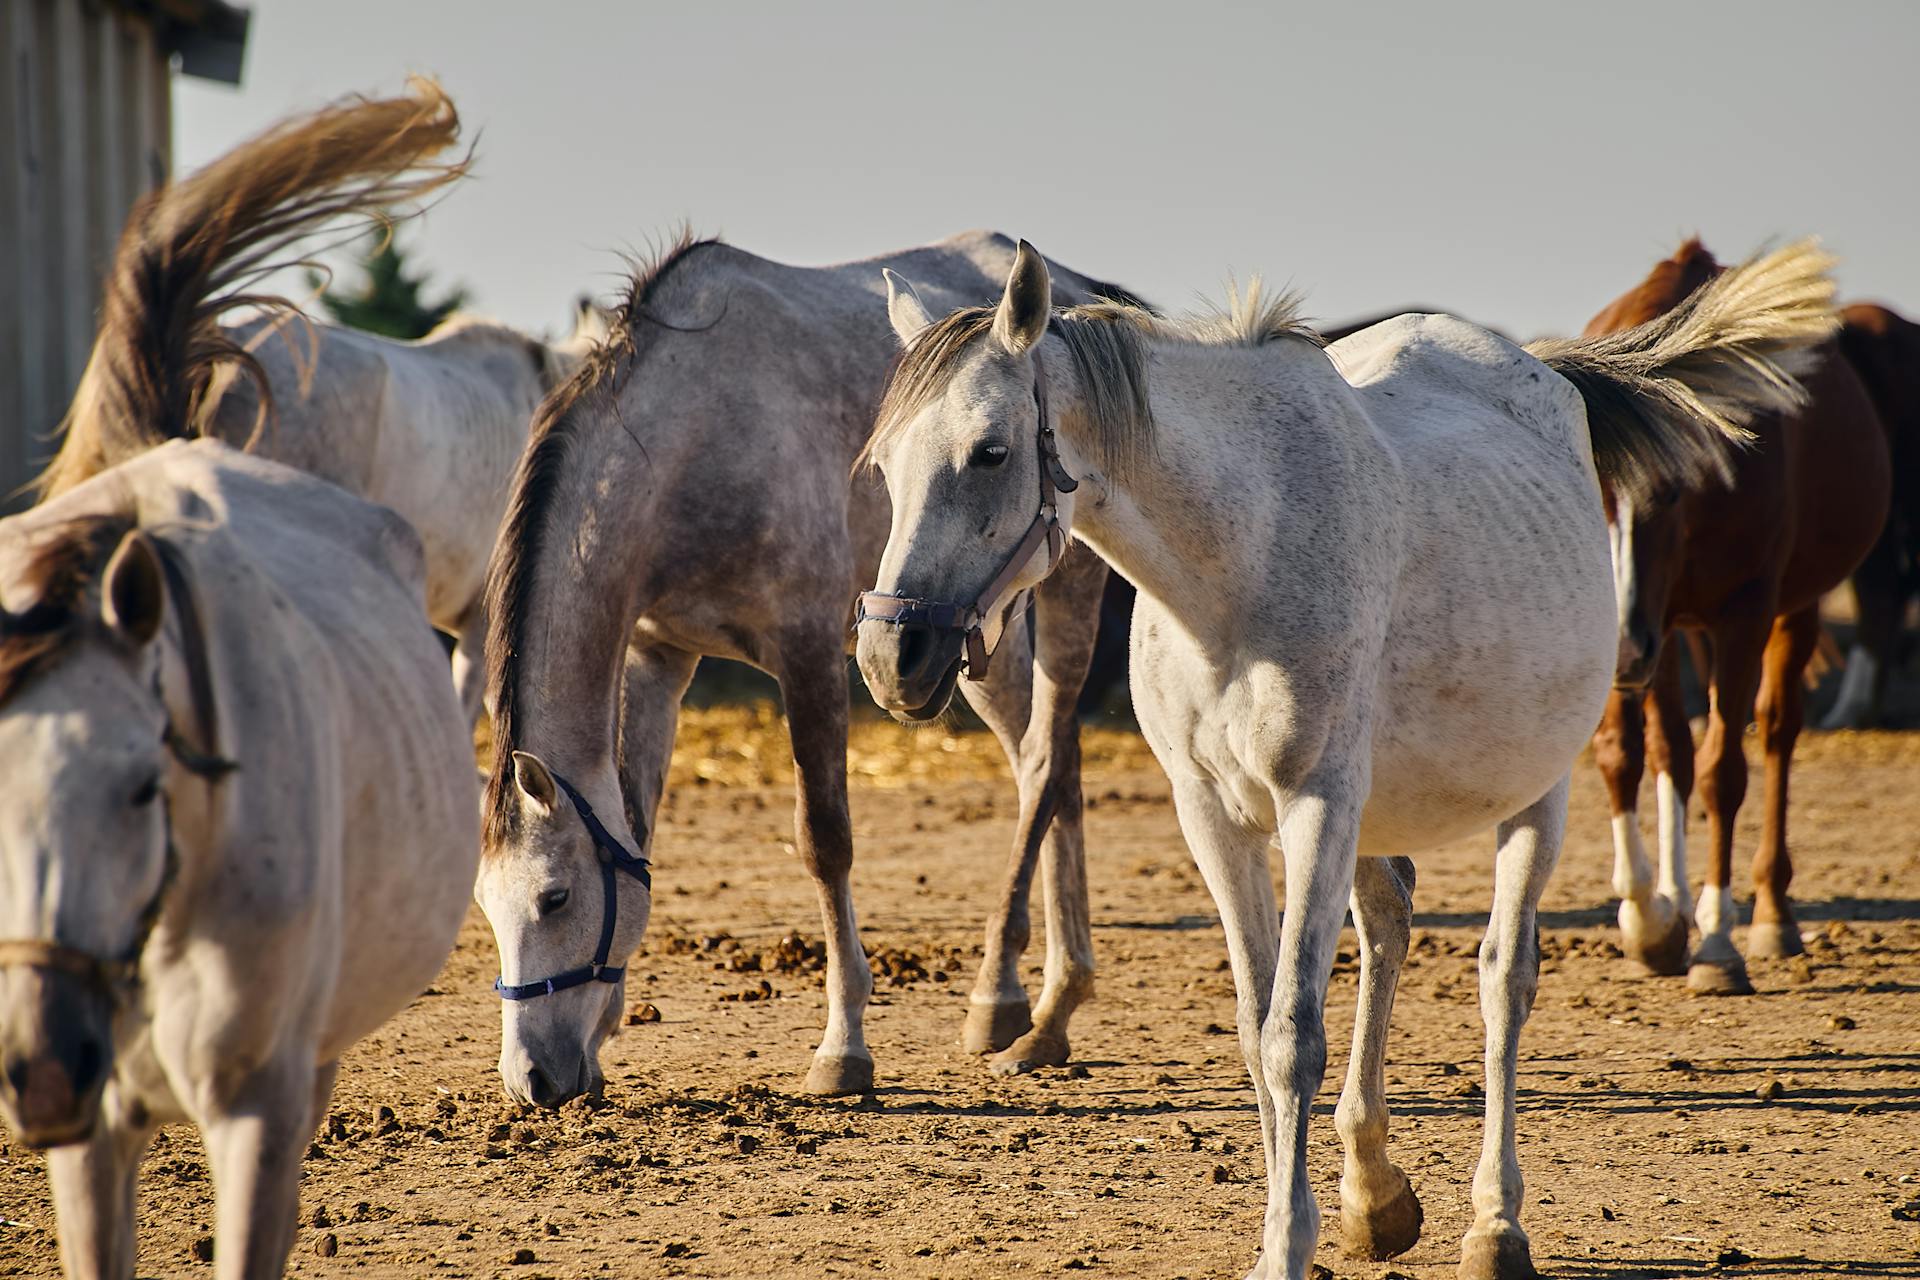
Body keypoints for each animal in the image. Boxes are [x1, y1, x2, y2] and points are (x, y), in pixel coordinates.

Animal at [478, 227, 1136, 1105]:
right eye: (486, 906)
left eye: (555, 898)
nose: (535, 1080)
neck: (692, 435)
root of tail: (1075, 284)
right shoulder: (658, 657)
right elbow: (640, 824)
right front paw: (609, 1026)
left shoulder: (811, 653)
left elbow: (824, 841)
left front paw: (843, 1045)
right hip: (974, 644)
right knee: (1051, 763)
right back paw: (1054, 1000)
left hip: (1064, 588)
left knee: (1045, 759)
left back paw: (1006, 999)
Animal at [852, 239, 1827, 1280]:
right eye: (885, 464)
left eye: (990, 451)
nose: (893, 655)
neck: (1238, 563)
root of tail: (1542, 374)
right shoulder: (1216, 818)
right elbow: (1257, 1027)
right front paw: (1319, 1216)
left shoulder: (1315, 803)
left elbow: (1293, 1037)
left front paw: (1286, 1246)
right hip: (1376, 812)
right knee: (1391, 925)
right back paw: (1376, 1193)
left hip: (1534, 797)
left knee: (1503, 980)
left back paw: (1496, 1224)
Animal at [1574, 242, 1889, 997]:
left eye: (1668, 495)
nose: (1618, 650)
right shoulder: (1656, 631)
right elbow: (1639, 754)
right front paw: (1650, 921)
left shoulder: (1741, 613)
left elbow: (1724, 771)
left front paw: (1716, 943)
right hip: (1675, 632)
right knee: (1678, 752)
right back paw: (1675, 903)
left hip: (1785, 611)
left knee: (1775, 733)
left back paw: (1771, 914)